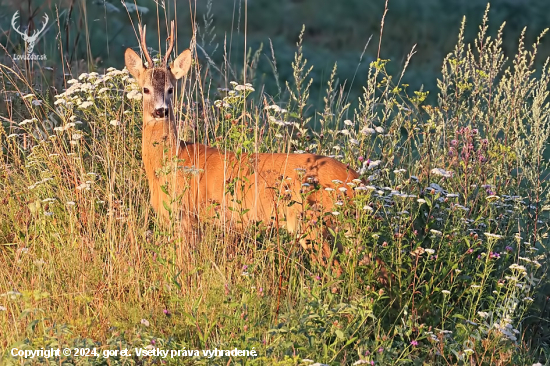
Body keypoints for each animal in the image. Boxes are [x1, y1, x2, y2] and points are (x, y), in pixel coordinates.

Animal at [127, 21, 364, 270]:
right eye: (145, 89)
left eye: (171, 89)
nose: (160, 110)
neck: (172, 159)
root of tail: (357, 180)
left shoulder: (187, 215)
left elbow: (185, 263)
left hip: (313, 222)